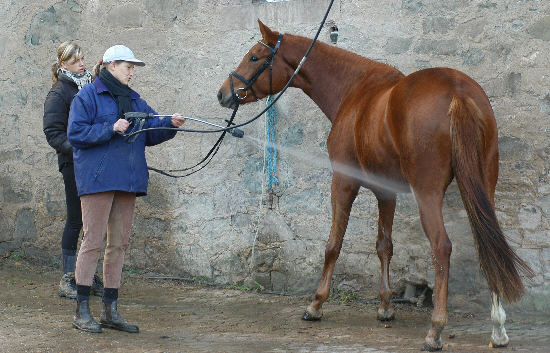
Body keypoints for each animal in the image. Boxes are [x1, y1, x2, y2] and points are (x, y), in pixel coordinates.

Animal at [219, 21, 536, 350]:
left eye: (255, 57)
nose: (223, 94)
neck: (355, 90)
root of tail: (457, 91)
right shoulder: (386, 191)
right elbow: (385, 245)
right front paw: (385, 306)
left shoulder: (343, 182)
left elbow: (333, 245)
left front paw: (316, 304)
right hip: (483, 186)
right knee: (489, 244)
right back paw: (498, 329)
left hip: (428, 194)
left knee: (442, 247)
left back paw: (435, 329)